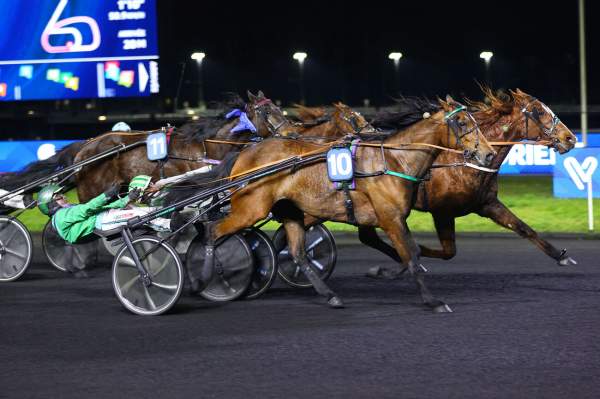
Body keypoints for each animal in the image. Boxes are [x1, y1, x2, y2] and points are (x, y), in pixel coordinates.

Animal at [204, 97, 494, 312]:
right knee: (213, 231)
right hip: (251, 208)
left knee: (298, 252)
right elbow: (410, 254)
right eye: (461, 122)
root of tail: (245, 153)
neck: (393, 160)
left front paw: (385, 272)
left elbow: (408, 253)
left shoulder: (387, 218)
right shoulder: (389, 217)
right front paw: (432, 301)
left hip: (289, 210)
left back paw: (330, 295)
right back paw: (208, 276)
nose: (488, 153)